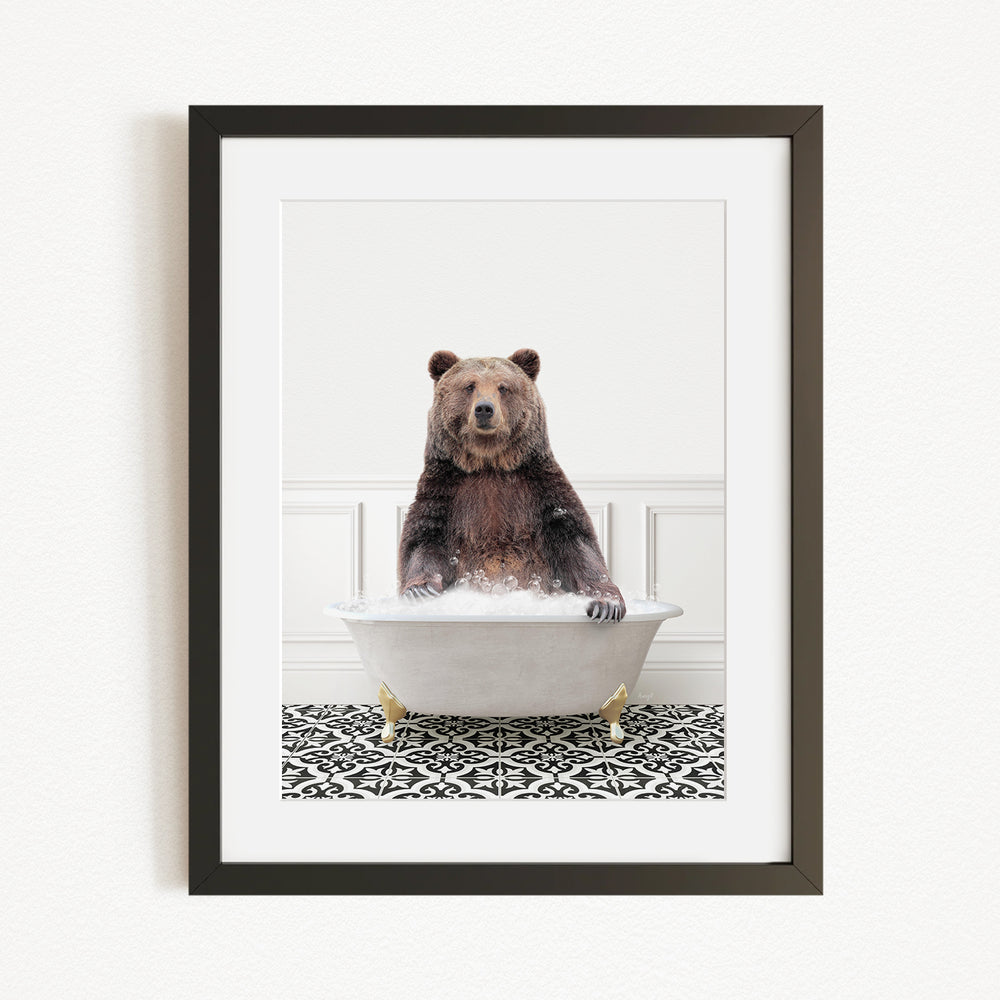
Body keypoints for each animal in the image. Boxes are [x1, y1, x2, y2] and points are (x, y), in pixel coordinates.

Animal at [398, 348, 626, 622]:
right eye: (469, 385)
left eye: (503, 387)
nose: (484, 409)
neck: (490, 463)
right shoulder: (445, 490)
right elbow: (423, 540)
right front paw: (420, 590)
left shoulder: (540, 488)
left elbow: (577, 542)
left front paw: (606, 604)